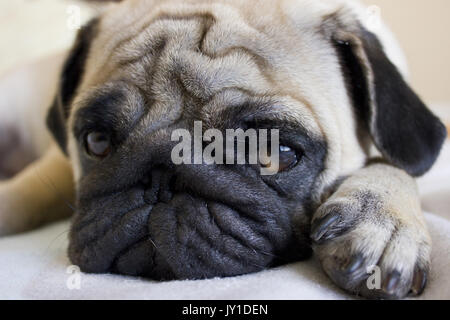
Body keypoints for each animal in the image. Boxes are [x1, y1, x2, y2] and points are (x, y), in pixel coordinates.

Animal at [0, 0, 446, 300]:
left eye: (274, 153)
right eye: (97, 142)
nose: (161, 175)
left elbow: (394, 164)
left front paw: (383, 218)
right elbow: (26, 195)